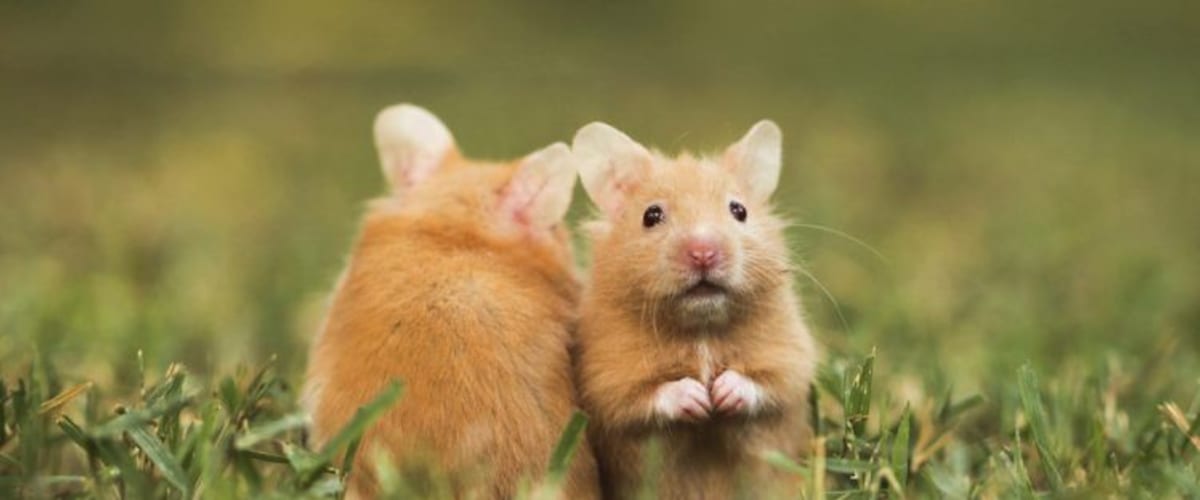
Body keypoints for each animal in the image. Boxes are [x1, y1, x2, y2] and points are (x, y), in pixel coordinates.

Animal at [570, 120, 819, 499]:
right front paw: (699, 398)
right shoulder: (605, 378)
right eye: (651, 215)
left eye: (739, 210)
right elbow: (642, 397)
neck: (702, 327)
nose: (703, 252)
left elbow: (771, 383)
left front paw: (723, 393)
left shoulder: (789, 354)